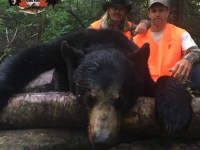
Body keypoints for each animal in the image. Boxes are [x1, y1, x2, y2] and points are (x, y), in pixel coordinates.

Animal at [0, 28, 192, 149]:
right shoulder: (64, 46)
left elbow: (159, 83)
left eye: (121, 101)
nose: (102, 140)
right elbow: (28, 58)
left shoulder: (141, 72)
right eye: (89, 98)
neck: (104, 43)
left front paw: (175, 113)